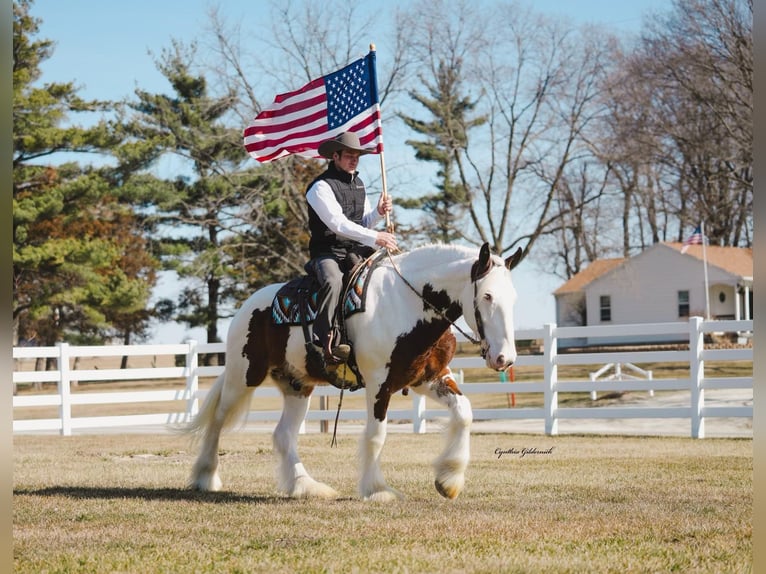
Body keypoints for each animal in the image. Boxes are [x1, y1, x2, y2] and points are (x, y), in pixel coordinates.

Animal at [186, 241, 520, 502]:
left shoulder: (428, 379)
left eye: (513, 297)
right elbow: (376, 435)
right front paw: (378, 490)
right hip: (245, 375)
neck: (406, 305)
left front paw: (449, 479)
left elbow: (464, 413)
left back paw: (305, 486)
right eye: (487, 296)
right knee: (218, 420)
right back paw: (205, 477)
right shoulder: (379, 384)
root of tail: (251, 305)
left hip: (298, 385)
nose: (505, 358)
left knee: (283, 435)